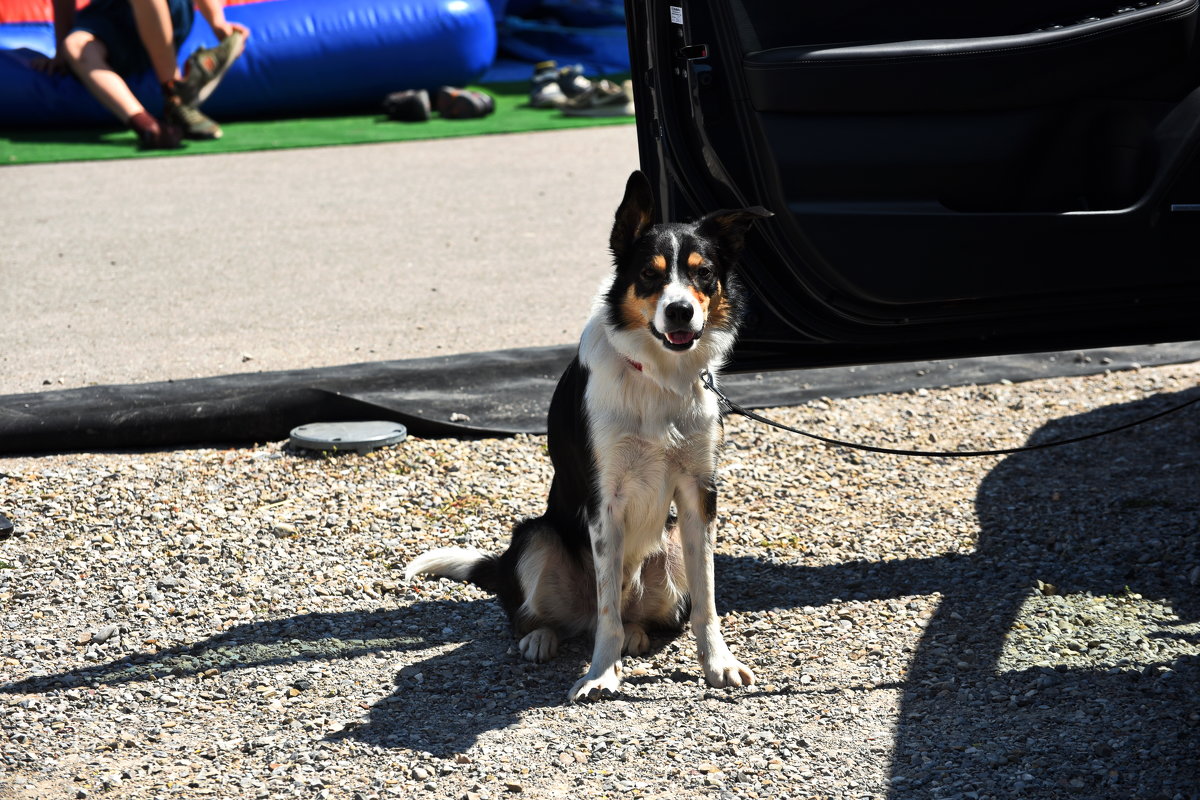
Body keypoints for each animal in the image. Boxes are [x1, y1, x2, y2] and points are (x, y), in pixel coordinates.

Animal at [408, 172, 772, 705]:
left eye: (703, 274)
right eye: (649, 274)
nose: (680, 311)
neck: (656, 377)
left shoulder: (698, 492)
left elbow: (706, 601)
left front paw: (718, 665)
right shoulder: (605, 500)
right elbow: (606, 613)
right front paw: (602, 675)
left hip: (669, 549)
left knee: (637, 615)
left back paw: (637, 634)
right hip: (536, 537)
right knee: (545, 614)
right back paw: (542, 638)